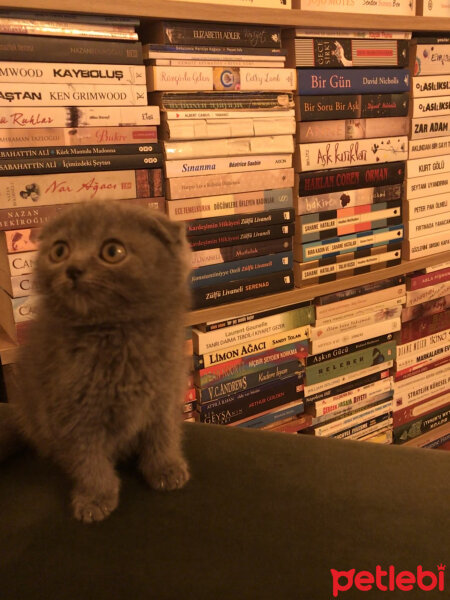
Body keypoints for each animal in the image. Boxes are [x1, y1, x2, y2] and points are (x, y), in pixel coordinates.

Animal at [0, 199, 192, 524]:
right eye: (59, 251)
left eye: (113, 251)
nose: (73, 269)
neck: (116, 334)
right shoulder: (72, 411)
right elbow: (88, 460)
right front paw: (95, 498)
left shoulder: (165, 393)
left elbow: (163, 434)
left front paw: (166, 469)